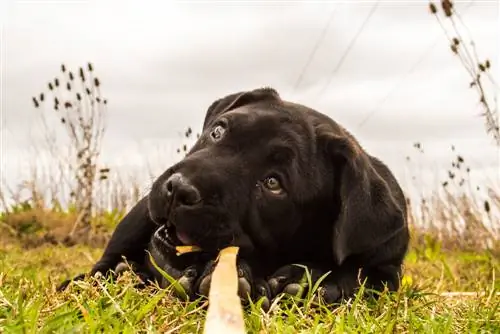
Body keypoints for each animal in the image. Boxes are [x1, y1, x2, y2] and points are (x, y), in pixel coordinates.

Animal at [58, 87, 410, 308]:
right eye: (217, 131)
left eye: (273, 183)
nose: (179, 188)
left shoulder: (389, 268)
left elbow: (364, 275)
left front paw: (317, 282)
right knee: (103, 266)